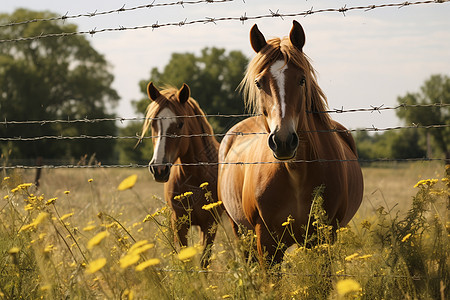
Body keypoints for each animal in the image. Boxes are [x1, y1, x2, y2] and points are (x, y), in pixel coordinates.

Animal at [142, 81, 222, 268]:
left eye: (180, 124)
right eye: (153, 124)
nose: (159, 169)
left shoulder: (210, 224)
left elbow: (204, 261)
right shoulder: (179, 223)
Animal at [219, 21, 366, 268]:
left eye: (302, 79)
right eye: (259, 83)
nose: (283, 141)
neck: (295, 173)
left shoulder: (321, 239)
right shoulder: (267, 243)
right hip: (240, 232)